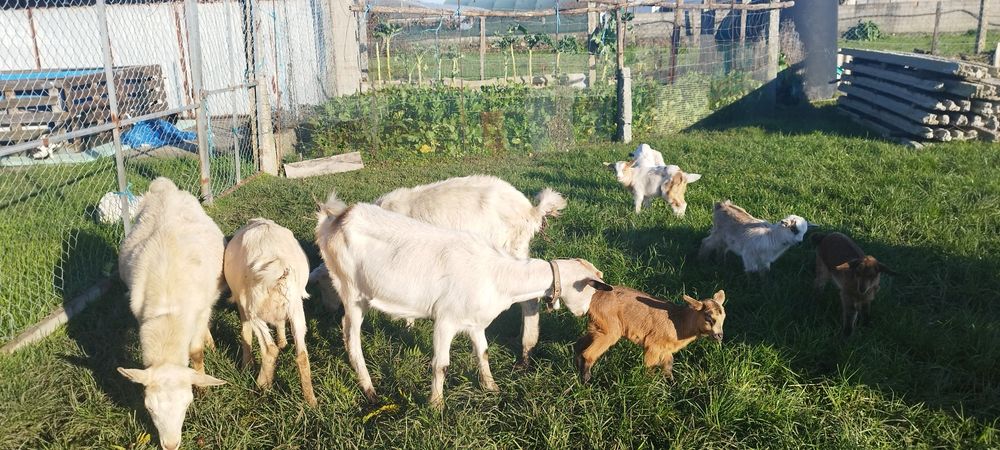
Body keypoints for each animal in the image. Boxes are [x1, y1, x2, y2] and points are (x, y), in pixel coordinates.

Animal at [116, 177, 226, 450]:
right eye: (149, 407)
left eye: (188, 403)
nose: (170, 445)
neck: (167, 314)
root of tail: (163, 185)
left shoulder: (199, 310)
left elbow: (195, 352)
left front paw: (203, 384)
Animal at [223, 218, 316, 406]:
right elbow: (279, 324)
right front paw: (283, 342)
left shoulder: (242, 307)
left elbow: (245, 333)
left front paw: (246, 366)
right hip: (296, 310)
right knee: (302, 355)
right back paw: (311, 401)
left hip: (253, 310)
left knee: (269, 349)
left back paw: (261, 387)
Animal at [311, 174, 567, 365]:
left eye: (325, 285)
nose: (327, 311)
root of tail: (530, 210)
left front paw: (408, 324)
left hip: (510, 250)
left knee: (529, 300)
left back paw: (526, 349)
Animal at [315, 192, 610, 408]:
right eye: (590, 289)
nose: (584, 313)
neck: (496, 274)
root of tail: (337, 217)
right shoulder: (445, 320)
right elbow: (441, 365)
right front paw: (436, 405)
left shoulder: (476, 323)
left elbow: (483, 352)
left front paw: (492, 387)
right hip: (352, 292)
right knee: (350, 336)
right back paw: (370, 390)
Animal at [575, 288, 726, 383]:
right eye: (709, 318)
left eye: (724, 316)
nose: (719, 336)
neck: (679, 322)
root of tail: (594, 298)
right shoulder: (653, 346)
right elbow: (650, 367)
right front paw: (650, 387)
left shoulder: (666, 349)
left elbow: (668, 367)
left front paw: (672, 386)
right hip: (610, 329)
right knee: (589, 353)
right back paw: (587, 382)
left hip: (598, 325)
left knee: (579, 344)